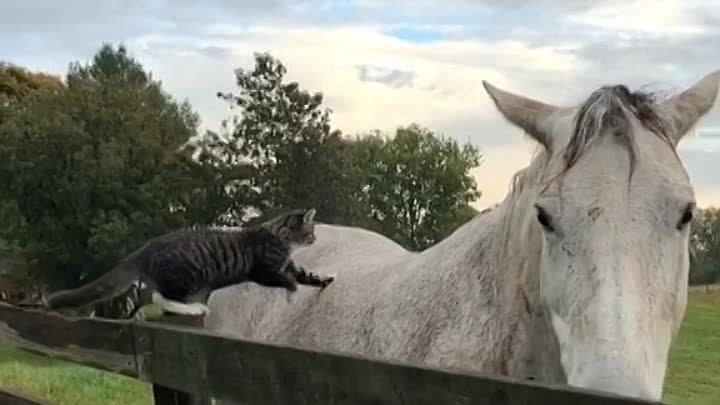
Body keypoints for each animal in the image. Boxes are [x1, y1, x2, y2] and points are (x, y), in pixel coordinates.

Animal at [43, 208, 336, 318]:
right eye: (310, 232)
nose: (316, 239)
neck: (280, 238)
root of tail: (146, 248)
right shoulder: (263, 270)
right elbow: (286, 280)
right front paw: (292, 292)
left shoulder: (288, 264)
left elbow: (306, 274)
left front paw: (325, 279)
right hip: (188, 275)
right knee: (159, 298)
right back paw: (194, 309)